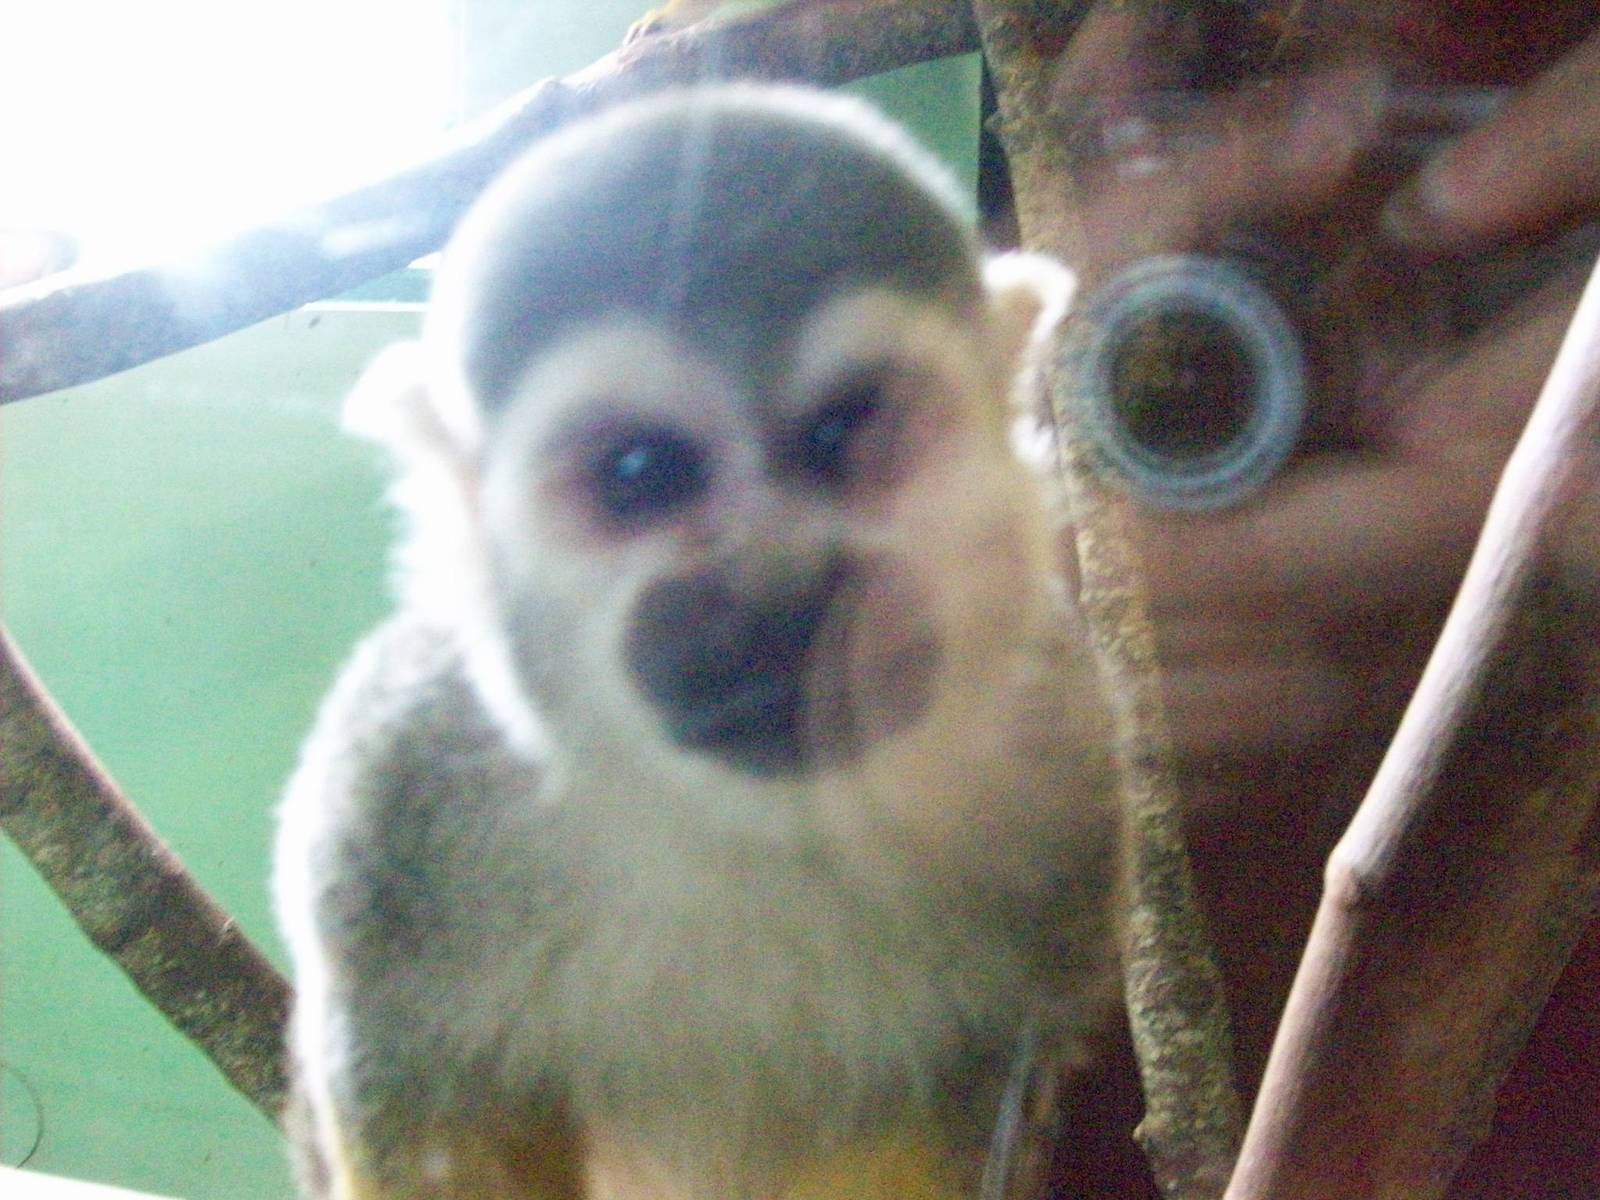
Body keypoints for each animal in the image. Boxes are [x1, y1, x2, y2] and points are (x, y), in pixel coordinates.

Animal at [274, 84, 1121, 1200]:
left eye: (848, 430)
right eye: (639, 472)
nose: (781, 589)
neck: (750, 823)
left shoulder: (1065, 774)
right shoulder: (395, 794)